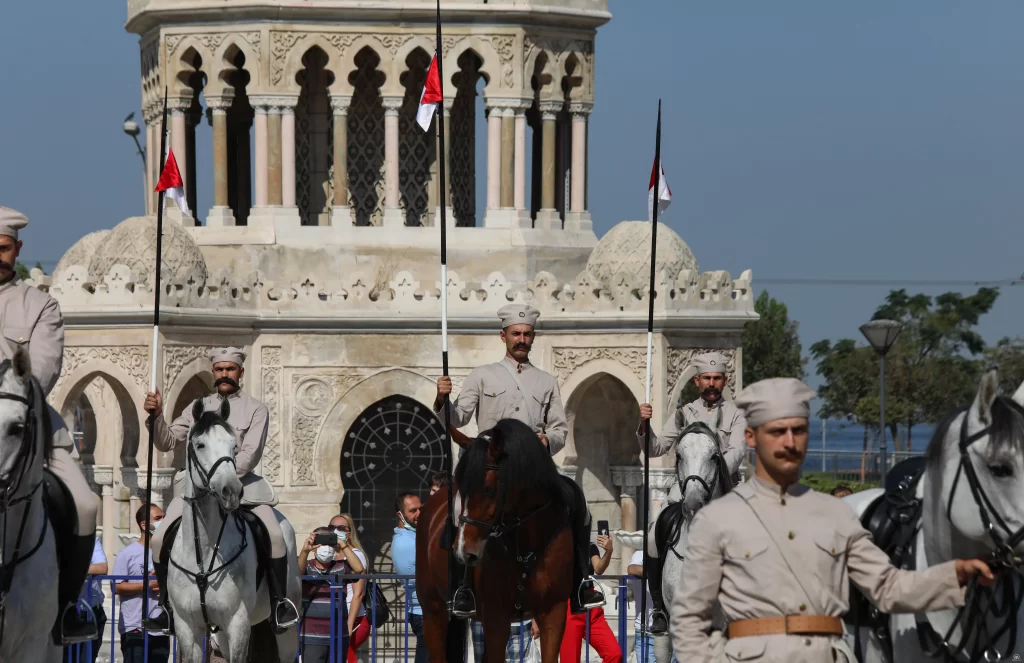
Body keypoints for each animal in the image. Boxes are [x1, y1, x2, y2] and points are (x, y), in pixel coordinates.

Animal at [415, 420, 577, 663]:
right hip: (433, 612)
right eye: (460, 488)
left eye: (489, 490)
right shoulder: (496, 618)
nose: (463, 552)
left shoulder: (553, 614)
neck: (528, 546)